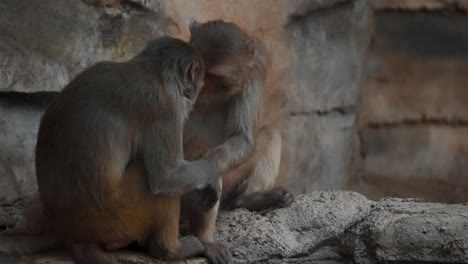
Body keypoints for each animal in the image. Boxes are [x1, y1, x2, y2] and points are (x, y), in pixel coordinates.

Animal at [34, 37, 229, 264]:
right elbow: (168, 176)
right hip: (118, 216)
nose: (196, 92)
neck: (155, 72)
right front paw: (212, 176)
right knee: (153, 180)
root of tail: (68, 233)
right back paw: (170, 250)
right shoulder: (165, 107)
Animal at [179, 19, 292, 252]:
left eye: (213, 75)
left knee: (271, 133)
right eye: (197, 68)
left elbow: (243, 137)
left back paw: (251, 200)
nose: (199, 84)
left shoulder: (251, 77)